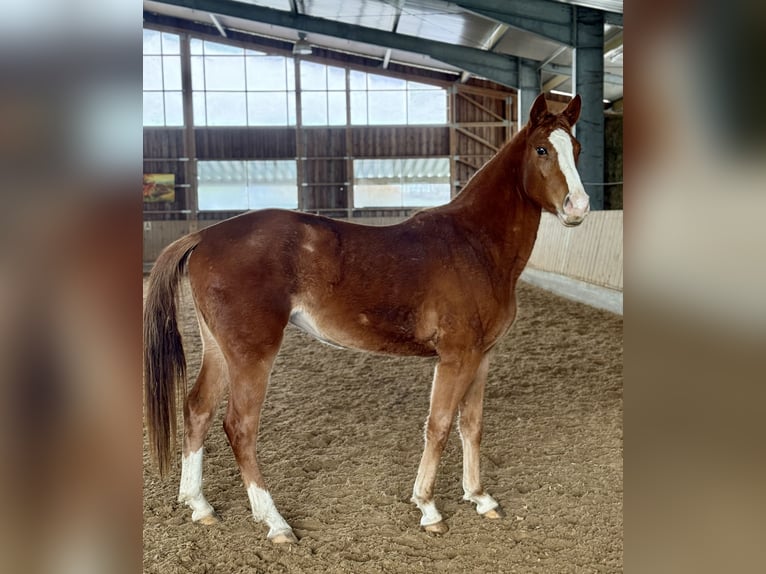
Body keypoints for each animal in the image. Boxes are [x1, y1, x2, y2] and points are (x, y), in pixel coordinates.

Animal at [143, 93, 589, 544]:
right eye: (541, 149)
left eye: (576, 148)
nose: (579, 207)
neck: (474, 245)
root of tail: (205, 236)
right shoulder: (456, 357)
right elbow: (440, 425)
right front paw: (428, 507)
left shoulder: (482, 357)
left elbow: (472, 425)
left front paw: (480, 498)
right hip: (252, 354)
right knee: (240, 427)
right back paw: (275, 522)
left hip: (220, 350)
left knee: (197, 410)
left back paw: (199, 505)